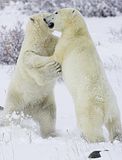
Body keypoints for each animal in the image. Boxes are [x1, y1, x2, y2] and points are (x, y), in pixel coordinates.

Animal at [44, 8, 122, 142]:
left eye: (56, 12)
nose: (44, 19)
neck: (77, 32)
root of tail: (105, 105)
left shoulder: (66, 45)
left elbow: (55, 58)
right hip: (114, 108)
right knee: (115, 125)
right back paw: (117, 137)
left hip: (88, 106)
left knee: (90, 125)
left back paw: (92, 139)